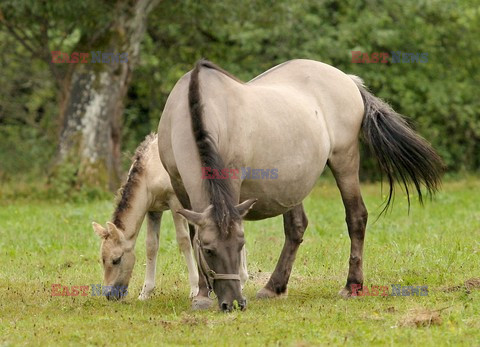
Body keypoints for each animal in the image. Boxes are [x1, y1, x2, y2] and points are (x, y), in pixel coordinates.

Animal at [158, 57, 442, 312]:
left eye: (240, 246)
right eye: (209, 250)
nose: (235, 303)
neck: (197, 107)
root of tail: (348, 80)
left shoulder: (232, 181)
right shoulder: (180, 185)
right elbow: (193, 235)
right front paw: (201, 294)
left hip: (344, 160)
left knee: (356, 216)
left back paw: (352, 285)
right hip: (291, 183)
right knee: (296, 227)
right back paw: (274, 287)